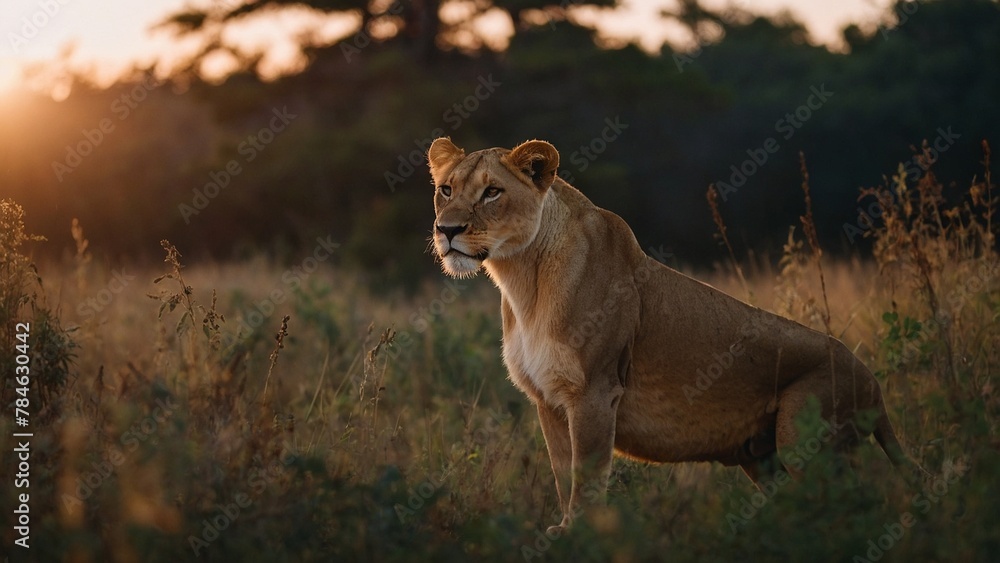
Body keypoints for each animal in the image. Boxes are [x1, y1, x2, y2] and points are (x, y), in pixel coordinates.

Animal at [427, 137, 916, 533]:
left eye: (492, 191)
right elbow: (563, 473)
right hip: (764, 457)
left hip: (806, 440)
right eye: (446, 189)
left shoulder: (594, 392)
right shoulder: (547, 398)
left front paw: (578, 536)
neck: (522, 279)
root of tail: (872, 380)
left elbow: (586, 479)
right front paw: (561, 530)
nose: (446, 230)